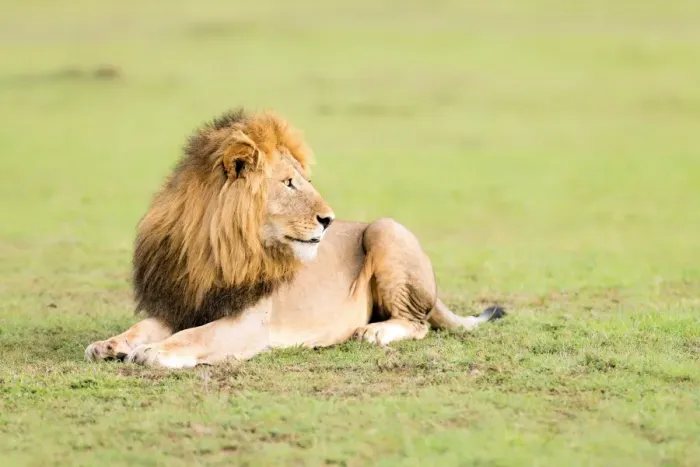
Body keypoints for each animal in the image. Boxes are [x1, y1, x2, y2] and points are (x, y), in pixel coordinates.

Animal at [85, 108, 505, 368]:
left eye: (305, 181)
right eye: (289, 183)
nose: (329, 219)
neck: (215, 248)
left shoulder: (248, 324)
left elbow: (194, 337)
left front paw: (153, 352)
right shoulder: (181, 301)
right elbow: (143, 327)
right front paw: (110, 344)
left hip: (385, 229)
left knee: (418, 323)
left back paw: (374, 332)